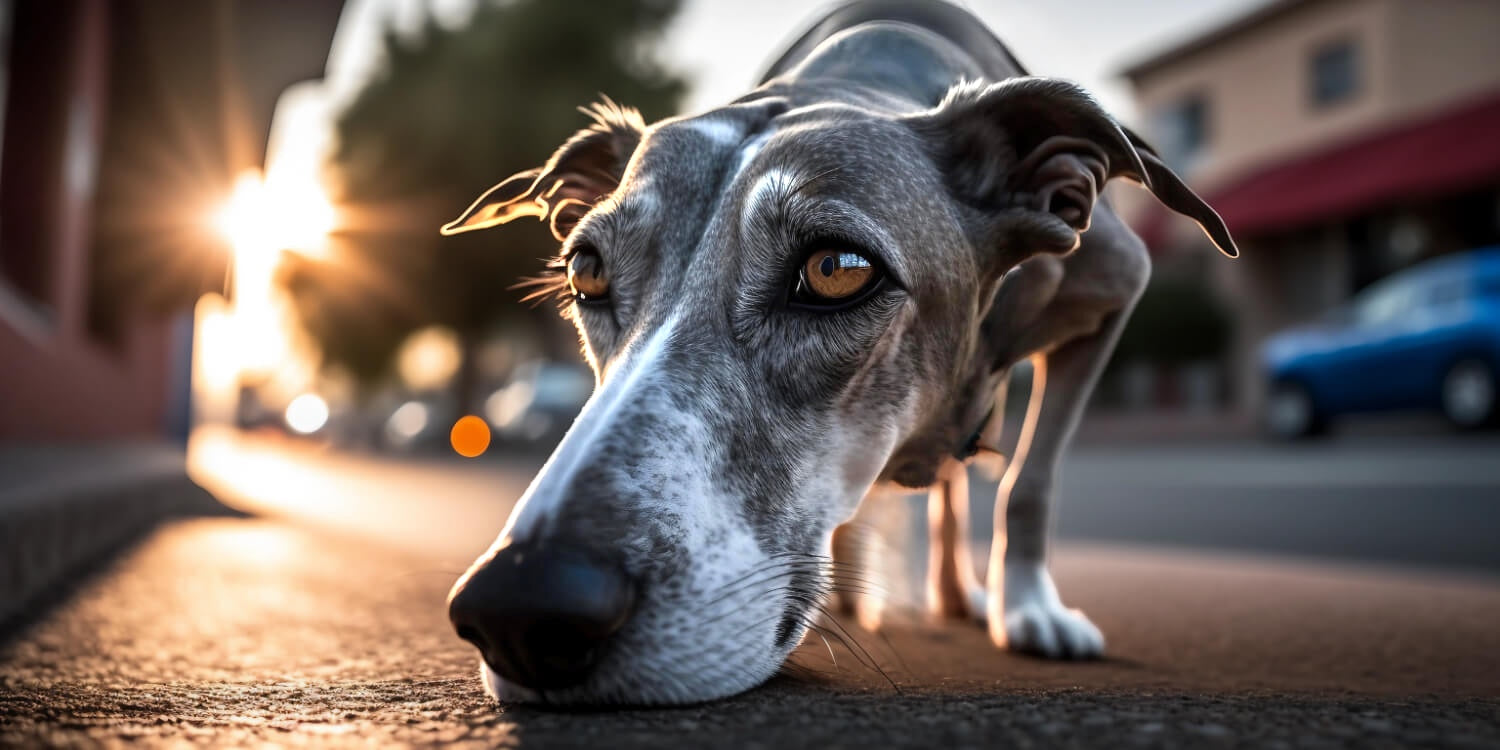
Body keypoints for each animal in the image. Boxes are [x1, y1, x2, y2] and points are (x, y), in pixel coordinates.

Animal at [438, 0, 1236, 705]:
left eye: (836, 269)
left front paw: (1031, 609)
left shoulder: (1113, 296)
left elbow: (1030, 483)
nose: (518, 609)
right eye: (587, 272)